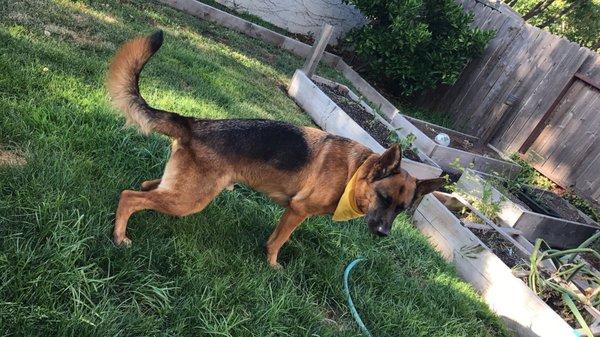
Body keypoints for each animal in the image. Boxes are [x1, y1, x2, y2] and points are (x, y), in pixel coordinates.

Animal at [108, 31, 446, 268]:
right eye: (384, 198)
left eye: (401, 209)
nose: (383, 234)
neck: (355, 171)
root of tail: (192, 124)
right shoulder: (298, 211)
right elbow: (279, 242)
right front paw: (272, 265)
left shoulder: (290, 211)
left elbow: (274, 237)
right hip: (188, 198)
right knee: (129, 196)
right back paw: (119, 236)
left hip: (186, 191)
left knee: (146, 186)